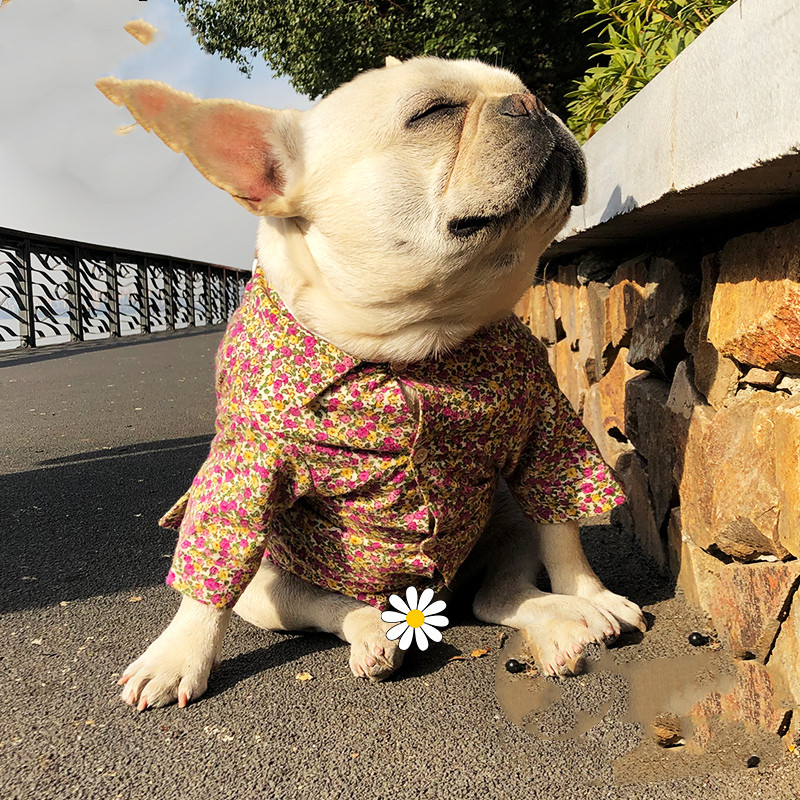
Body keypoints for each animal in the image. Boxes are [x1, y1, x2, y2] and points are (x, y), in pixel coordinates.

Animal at [97, 56, 646, 711]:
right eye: (433, 112)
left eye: (523, 88)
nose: (533, 103)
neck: (414, 338)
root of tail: (425, 602)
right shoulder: (246, 464)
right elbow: (211, 569)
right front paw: (178, 655)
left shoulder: (546, 428)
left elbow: (563, 525)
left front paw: (591, 595)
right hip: (271, 589)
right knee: (335, 606)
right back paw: (374, 636)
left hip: (507, 525)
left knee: (500, 596)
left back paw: (566, 622)